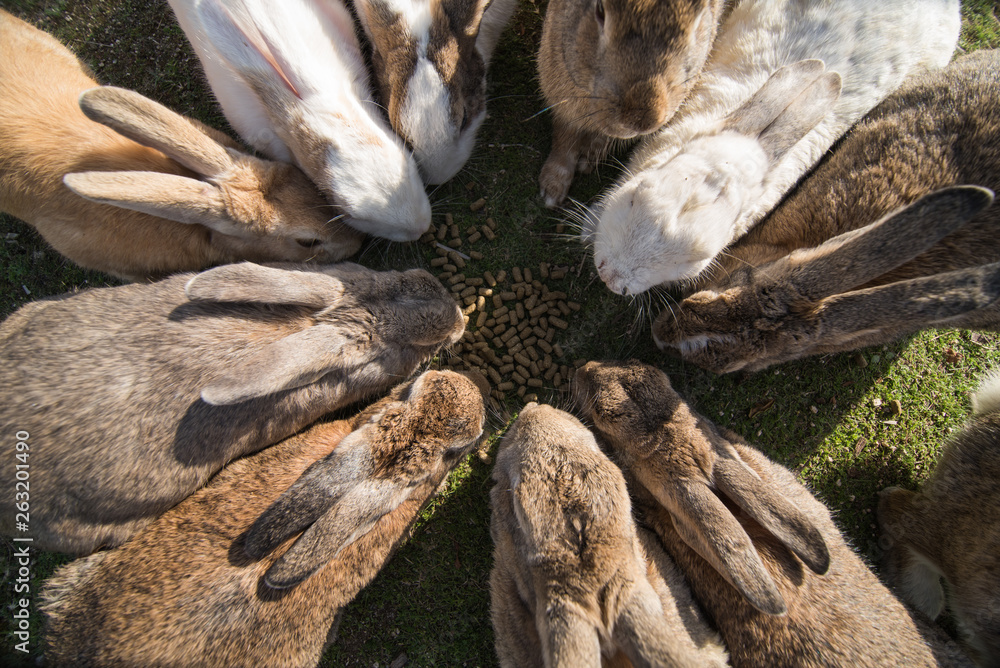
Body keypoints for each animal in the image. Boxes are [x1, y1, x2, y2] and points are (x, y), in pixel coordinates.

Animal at [536, 0, 729, 207]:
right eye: (600, 11)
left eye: (699, 15)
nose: (643, 120)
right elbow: (565, 137)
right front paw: (552, 189)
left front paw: (590, 156)